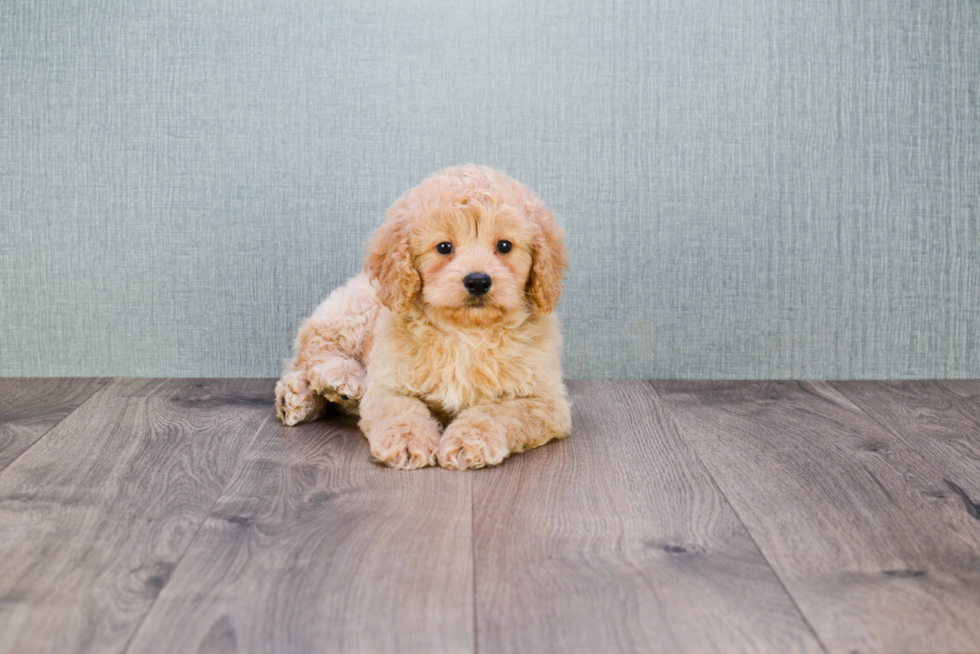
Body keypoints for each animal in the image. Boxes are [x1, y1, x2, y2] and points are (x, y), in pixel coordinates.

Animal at [272, 167, 572, 468]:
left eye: (505, 245)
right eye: (444, 247)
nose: (478, 281)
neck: (466, 332)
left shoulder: (544, 400)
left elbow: (497, 412)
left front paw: (469, 440)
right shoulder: (387, 385)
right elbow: (402, 410)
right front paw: (407, 441)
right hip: (354, 309)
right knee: (314, 349)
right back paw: (332, 382)